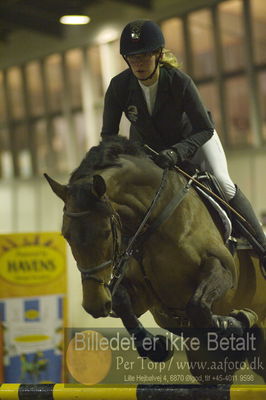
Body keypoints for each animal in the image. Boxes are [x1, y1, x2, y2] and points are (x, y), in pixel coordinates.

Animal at [45, 136, 266, 382]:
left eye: (105, 232)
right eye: (66, 235)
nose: (95, 304)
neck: (156, 218)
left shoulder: (222, 268)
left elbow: (198, 305)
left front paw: (237, 320)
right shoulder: (144, 294)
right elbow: (122, 302)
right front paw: (155, 347)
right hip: (210, 365)